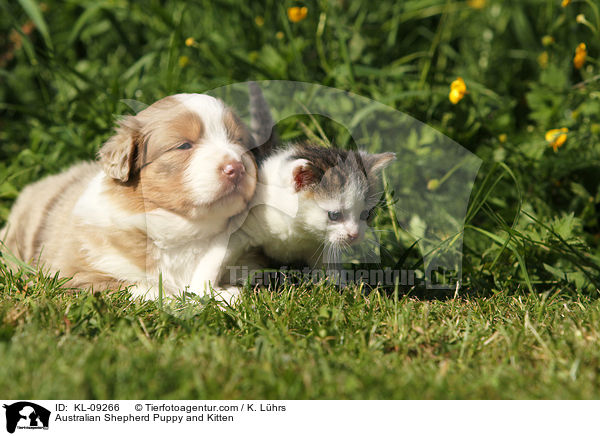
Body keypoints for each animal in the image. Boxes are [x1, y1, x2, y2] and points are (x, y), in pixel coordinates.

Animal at [0, 94, 258, 300]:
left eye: (239, 142)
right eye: (184, 145)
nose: (236, 167)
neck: (183, 230)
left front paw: (227, 295)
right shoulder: (69, 275)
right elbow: (142, 288)